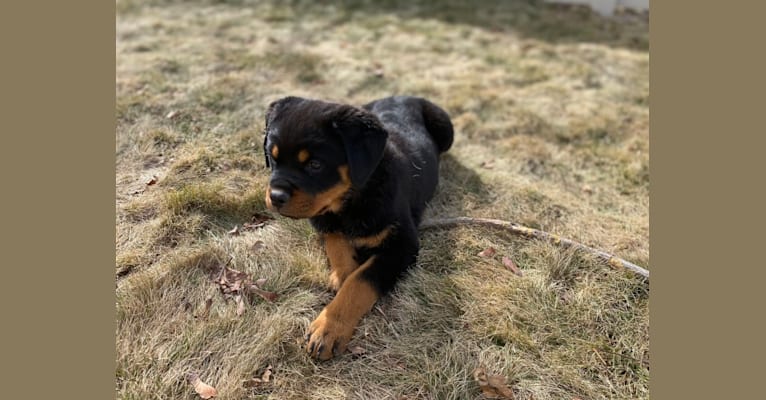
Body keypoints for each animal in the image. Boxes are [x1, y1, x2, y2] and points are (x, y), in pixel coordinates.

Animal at [264, 95, 456, 360]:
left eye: (315, 164)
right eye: (272, 157)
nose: (275, 196)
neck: (353, 199)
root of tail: (403, 95)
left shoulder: (402, 245)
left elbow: (360, 281)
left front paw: (328, 329)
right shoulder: (322, 218)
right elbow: (336, 244)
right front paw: (341, 274)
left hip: (446, 129)